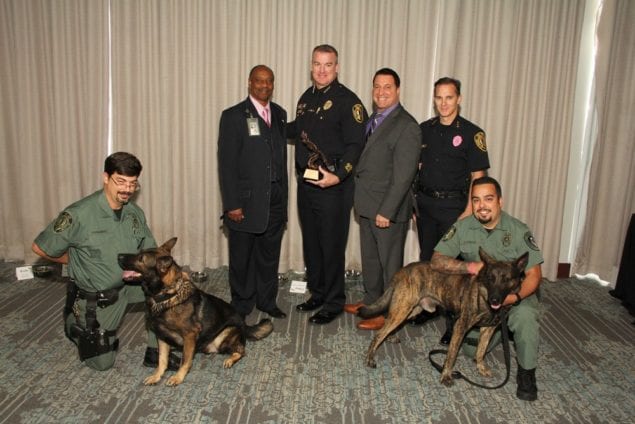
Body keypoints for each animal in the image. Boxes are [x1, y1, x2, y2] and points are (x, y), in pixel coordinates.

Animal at [119, 238, 274, 388]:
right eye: (139, 252)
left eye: (141, 258)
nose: (118, 256)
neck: (166, 297)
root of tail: (244, 325)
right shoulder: (161, 337)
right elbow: (162, 360)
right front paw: (157, 376)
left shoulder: (189, 335)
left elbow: (185, 360)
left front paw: (178, 377)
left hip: (224, 336)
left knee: (241, 350)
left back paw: (230, 359)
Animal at [360, 247, 528, 386]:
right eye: (490, 278)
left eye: (506, 279)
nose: (494, 299)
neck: (484, 293)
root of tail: (403, 270)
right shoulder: (460, 327)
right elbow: (452, 355)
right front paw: (446, 375)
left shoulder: (488, 330)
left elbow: (481, 351)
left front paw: (480, 367)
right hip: (403, 309)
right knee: (379, 333)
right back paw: (370, 357)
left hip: (411, 309)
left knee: (388, 323)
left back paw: (391, 336)